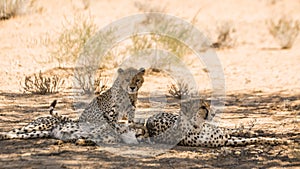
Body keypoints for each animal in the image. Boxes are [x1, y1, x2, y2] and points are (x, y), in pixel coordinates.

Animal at [146, 98, 290, 147]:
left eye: (207, 104)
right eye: (203, 108)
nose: (214, 113)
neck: (197, 126)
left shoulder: (224, 136)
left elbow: (256, 137)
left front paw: (277, 140)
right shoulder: (225, 141)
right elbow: (250, 140)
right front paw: (277, 141)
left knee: (231, 129)